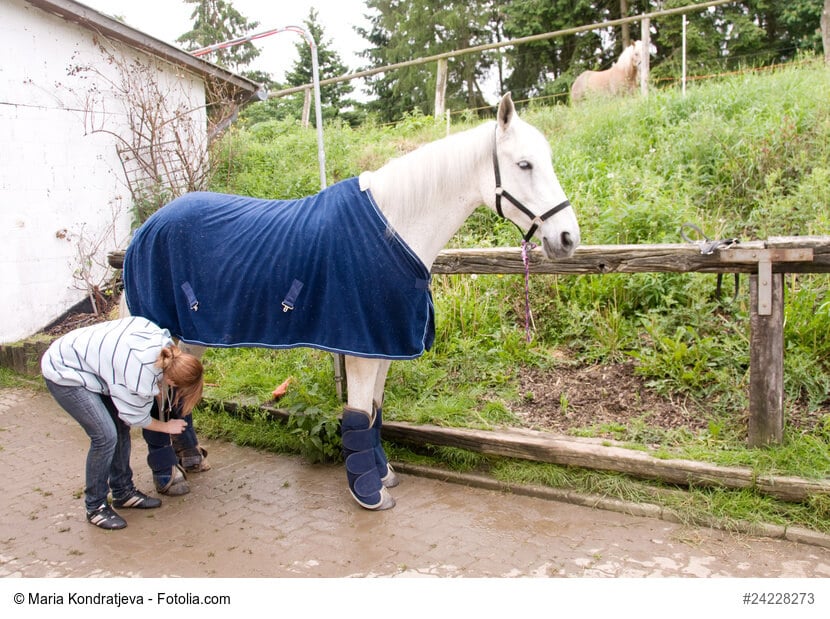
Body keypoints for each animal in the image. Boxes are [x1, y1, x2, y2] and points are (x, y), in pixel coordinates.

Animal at [121, 92, 581, 511]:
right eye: (524, 165)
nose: (567, 238)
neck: (392, 229)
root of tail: (147, 227)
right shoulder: (362, 347)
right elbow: (359, 415)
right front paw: (368, 493)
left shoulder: (383, 345)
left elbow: (375, 412)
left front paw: (384, 475)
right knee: (156, 399)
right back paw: (168, 476)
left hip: (193, 336)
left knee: (176, 396)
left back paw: (189, 459)